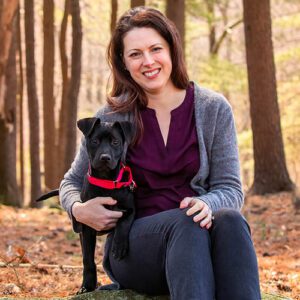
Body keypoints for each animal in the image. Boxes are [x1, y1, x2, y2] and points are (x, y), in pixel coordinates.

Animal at [36, 116, 136, 292]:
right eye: (95, 141)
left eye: (115, 142)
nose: (105, 158)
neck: (106, 181)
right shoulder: (88, 225)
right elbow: (88, 259)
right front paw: (87, 286)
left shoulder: (130, 208)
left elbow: (123, 223)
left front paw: (119, 245)